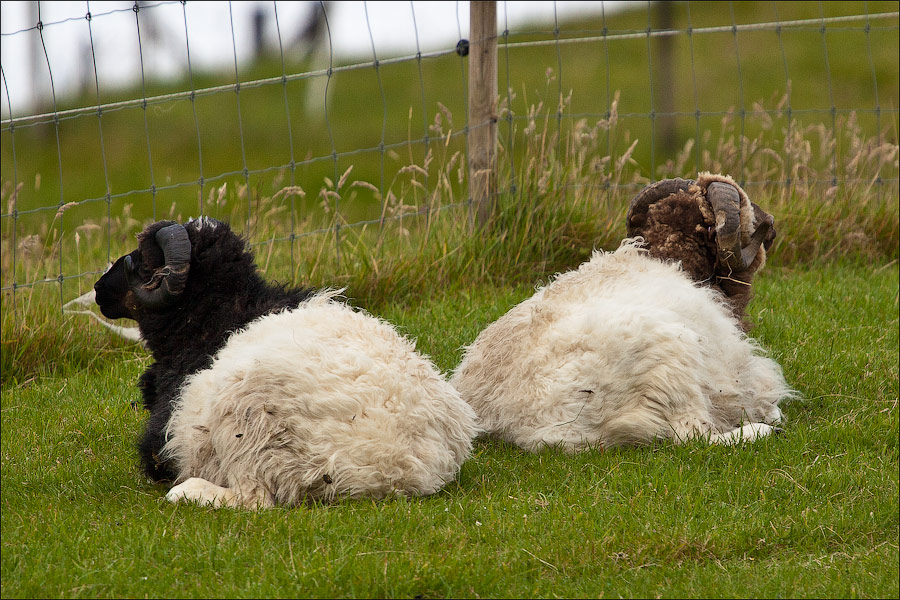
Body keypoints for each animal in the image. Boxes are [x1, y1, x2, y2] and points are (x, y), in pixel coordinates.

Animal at [95, 218, 478, 508]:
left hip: (247, 421)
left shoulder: (164, 433)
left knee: (254, 499)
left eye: (143, 261)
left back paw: (187, 492)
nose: (99, 288)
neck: (215, 318)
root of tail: (400, 471)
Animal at [450, 171, 796, 452]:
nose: (772, 226)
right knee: (693, 436)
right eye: (747, 210)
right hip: (673, 363)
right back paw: (761, 430)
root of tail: (518, 425)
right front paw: (771, 414)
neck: (675, 261)